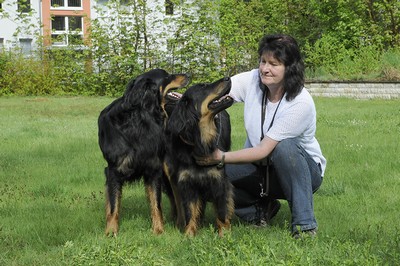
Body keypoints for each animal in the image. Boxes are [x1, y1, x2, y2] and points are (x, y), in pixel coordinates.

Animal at [98, 69, 189, 237]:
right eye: (167, 76)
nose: (188, 74)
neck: (140, 121)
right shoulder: (113, 171)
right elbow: (113, 205)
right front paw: (111, 232)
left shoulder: (154, 170)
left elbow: (156, 204)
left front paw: (159, 230)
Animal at [164, 77, 236, 237]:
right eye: (203, 86)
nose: (228, 78)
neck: (199, 142)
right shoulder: (188, 183)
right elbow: (190, 211)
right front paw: (189, 234)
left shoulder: (219, 182)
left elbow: (222, 210)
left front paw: (224, 234)